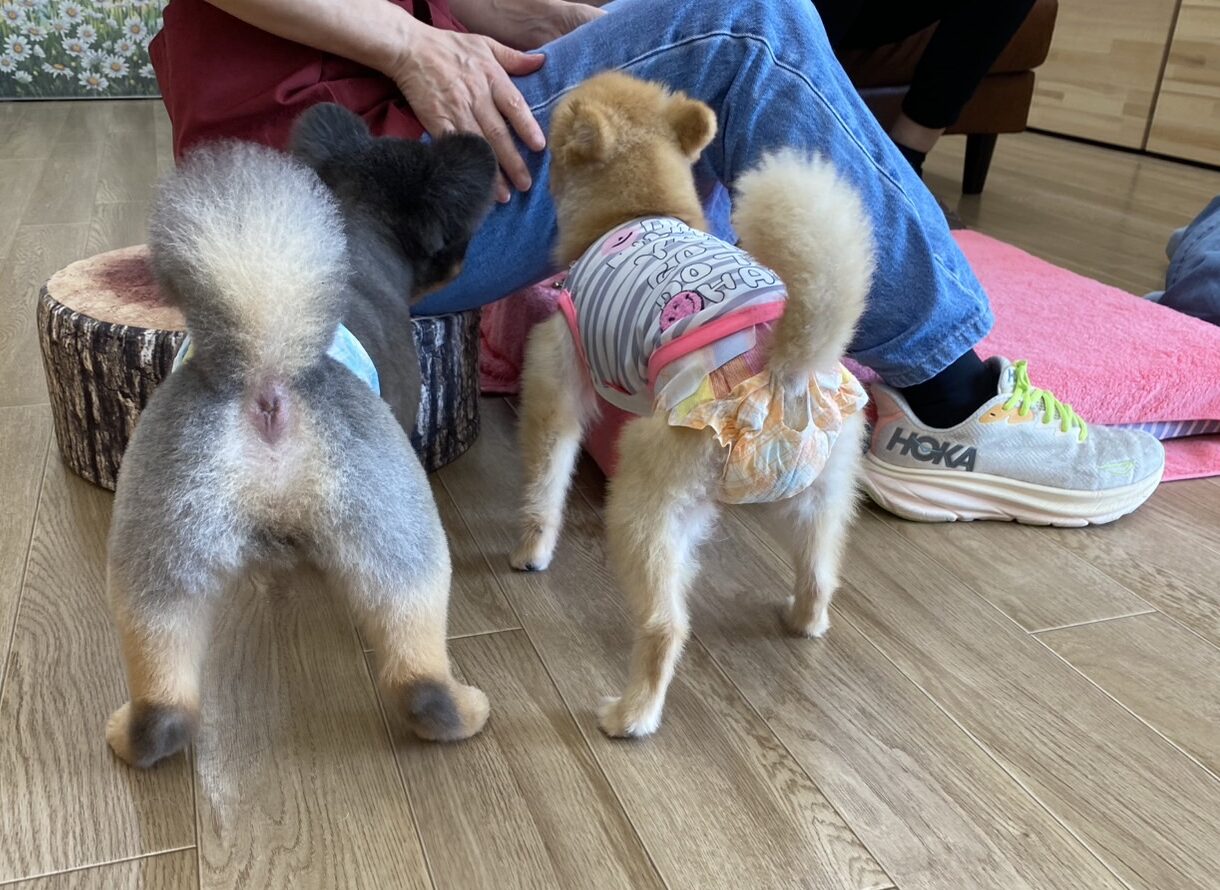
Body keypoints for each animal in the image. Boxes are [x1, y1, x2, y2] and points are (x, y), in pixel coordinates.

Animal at [104, 104, 498, 768]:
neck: (361, 235)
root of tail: (266, 382)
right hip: (401, 534)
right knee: (418, 678)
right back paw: (460, 711)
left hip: (159, 555)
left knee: (164, 698)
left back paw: (137, 732)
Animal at [510, 72, 875, 738]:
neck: (637, 210)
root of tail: (787, 367)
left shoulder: (554, 383)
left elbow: (544, 484)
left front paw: (531, 552)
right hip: (821, 496)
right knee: (820, 571)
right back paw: (803, 620)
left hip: (646, 510)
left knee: (664, 626)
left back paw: (632, 713)